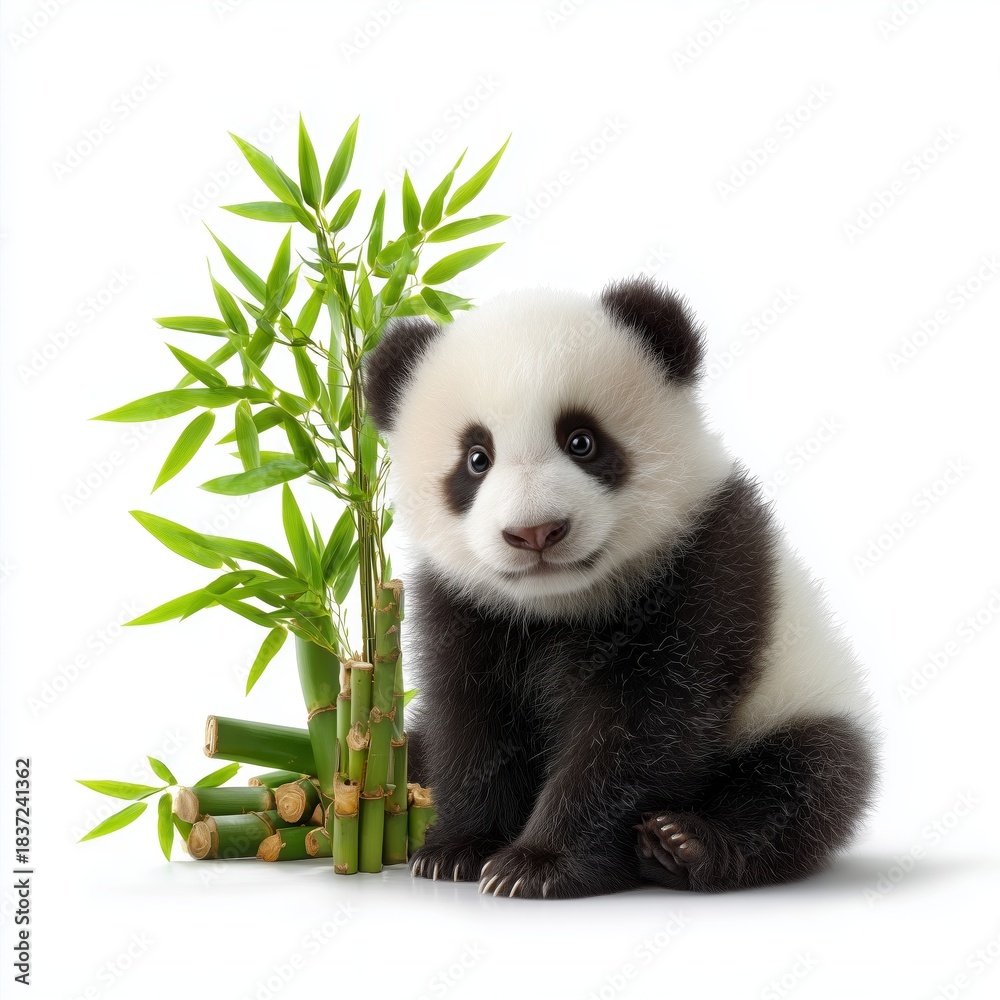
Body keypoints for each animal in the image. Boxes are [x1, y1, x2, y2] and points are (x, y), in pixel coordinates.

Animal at [363, 276, 878, 899]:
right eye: (476, 458)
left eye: (582, 441)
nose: (536, 531)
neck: (561, 603)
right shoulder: (465, 605)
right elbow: (472, 720)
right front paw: (458, 849)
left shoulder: (702, 573)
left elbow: (642, 731)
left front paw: (534, 864)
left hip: (799, 702)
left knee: (804, 782)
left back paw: (683, 844)